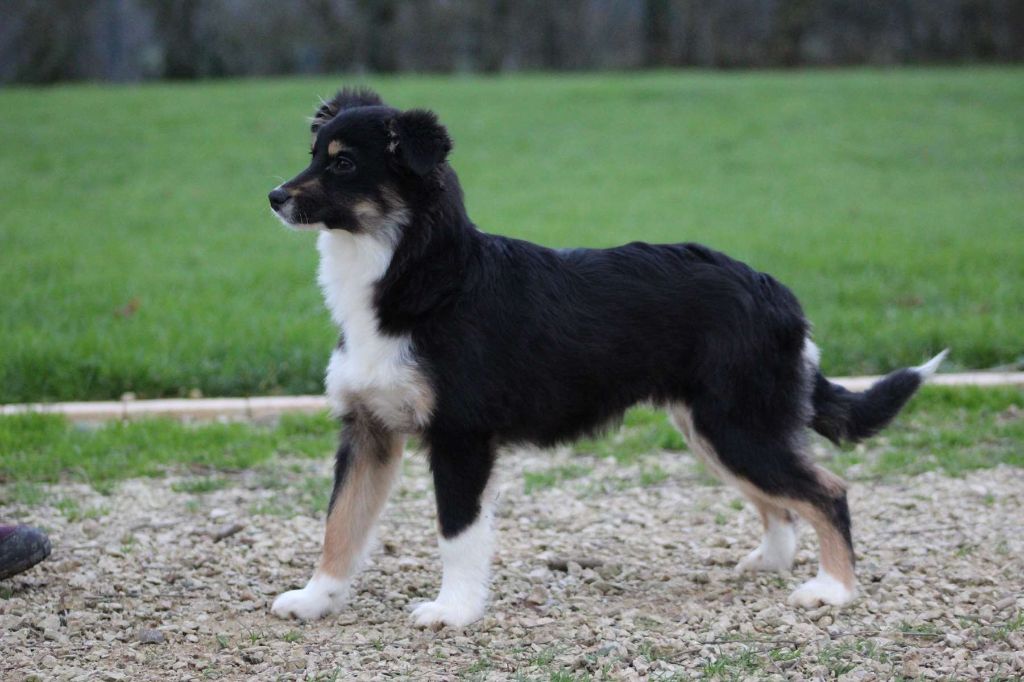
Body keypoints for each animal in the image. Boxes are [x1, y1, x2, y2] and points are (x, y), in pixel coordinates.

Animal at [266, 87, 946, 627]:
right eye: (312, 153)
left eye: (344, 162)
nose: (273, 196)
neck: (419, 276)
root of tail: (775, 290)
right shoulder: (368, 430)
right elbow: (340, 524)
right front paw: (315, 599)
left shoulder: (462, 438)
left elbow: (456, 534)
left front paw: (453, 611)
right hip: (713, 428)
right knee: (782, 502)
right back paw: (770, 564)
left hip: (737, 427)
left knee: (828, 491)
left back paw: (832, 591)